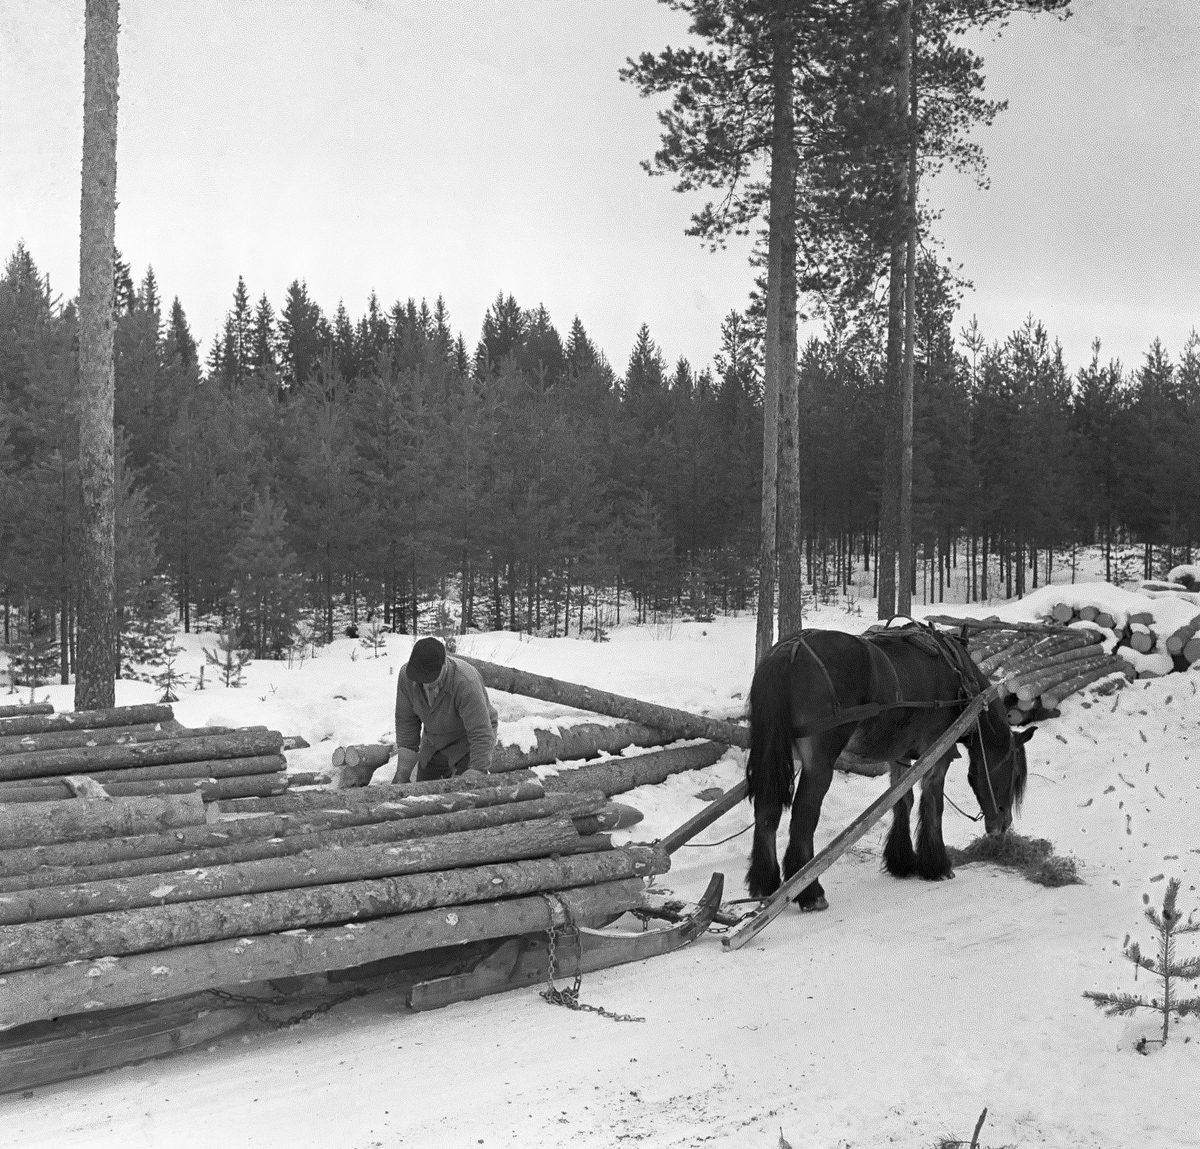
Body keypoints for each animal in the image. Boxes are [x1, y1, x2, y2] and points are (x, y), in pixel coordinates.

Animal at [739, 623, 1032, 911]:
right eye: (1015, 773)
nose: (1003, 824)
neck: (958, 674)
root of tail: (788, 650)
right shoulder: (938, 752)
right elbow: (933, 805)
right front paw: (936, 865)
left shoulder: (899, 755)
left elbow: (903, 801)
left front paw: (901, 861)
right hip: (819, 761)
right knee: (803, 816)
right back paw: (810, 892)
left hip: (774, 752)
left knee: (767, 811)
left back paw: (766, 883)